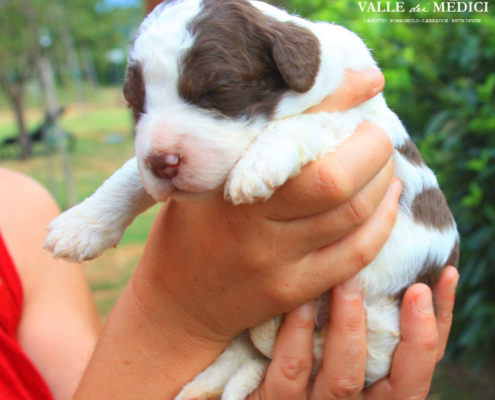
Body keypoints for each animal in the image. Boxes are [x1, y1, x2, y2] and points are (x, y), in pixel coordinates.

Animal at [43, 0, 462, 396]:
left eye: (216, 92)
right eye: (136, 105)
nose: (163, 162)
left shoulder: (363, 122)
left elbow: (310, 121)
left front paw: (256, 166)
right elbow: (130, 172)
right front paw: (79, 225)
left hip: (383, 318)